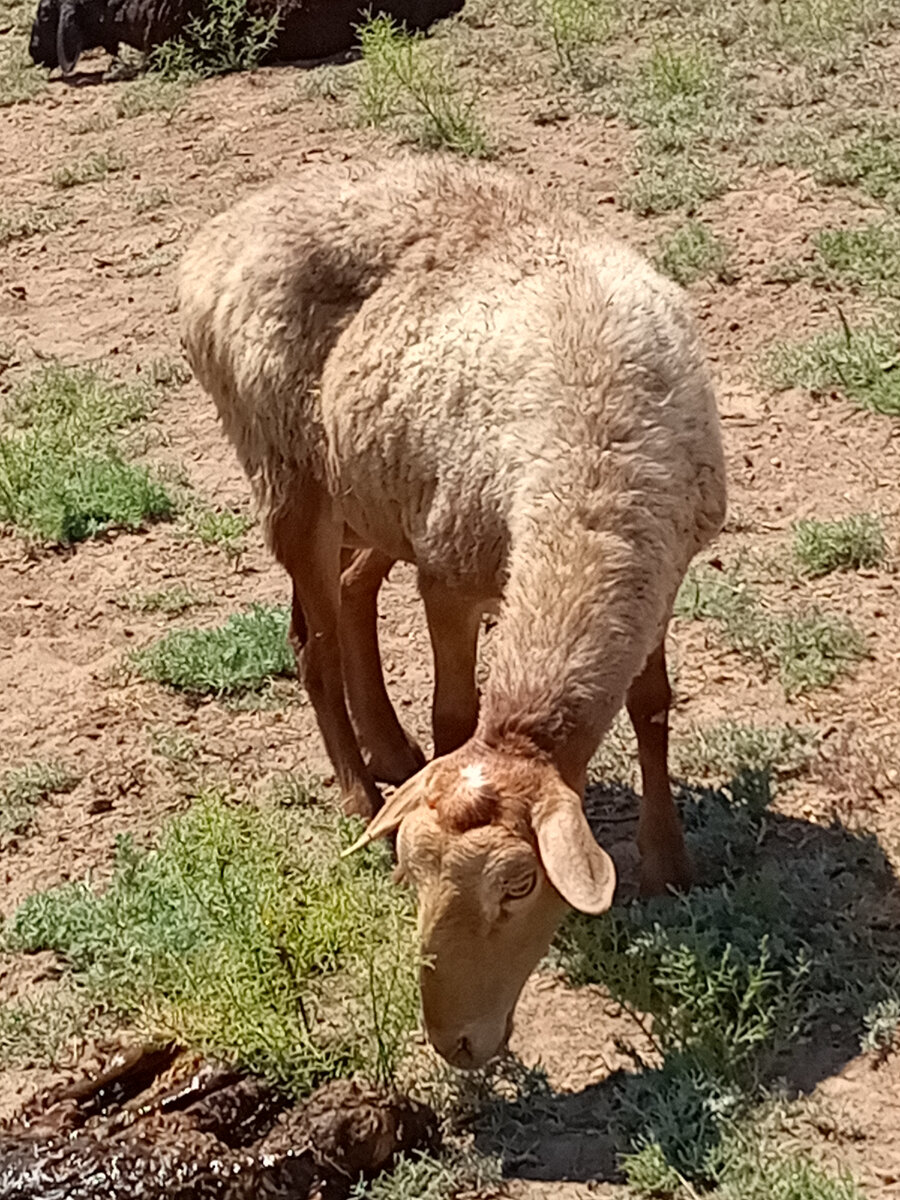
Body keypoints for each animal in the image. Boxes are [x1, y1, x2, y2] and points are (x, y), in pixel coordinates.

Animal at [180, 152, 729, 1070]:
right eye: (412, 876)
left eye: (519, 884)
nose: (454, 1044)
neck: (591, 469)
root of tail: (225, 226)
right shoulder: (452, 572)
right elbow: (454, 715)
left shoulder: (662, 567)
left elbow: (651, 707)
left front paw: (669, 864)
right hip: (291, 477)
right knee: (312, 642)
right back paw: (358, 790)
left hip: (377, 492)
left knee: (352, 595)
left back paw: (388, 749)